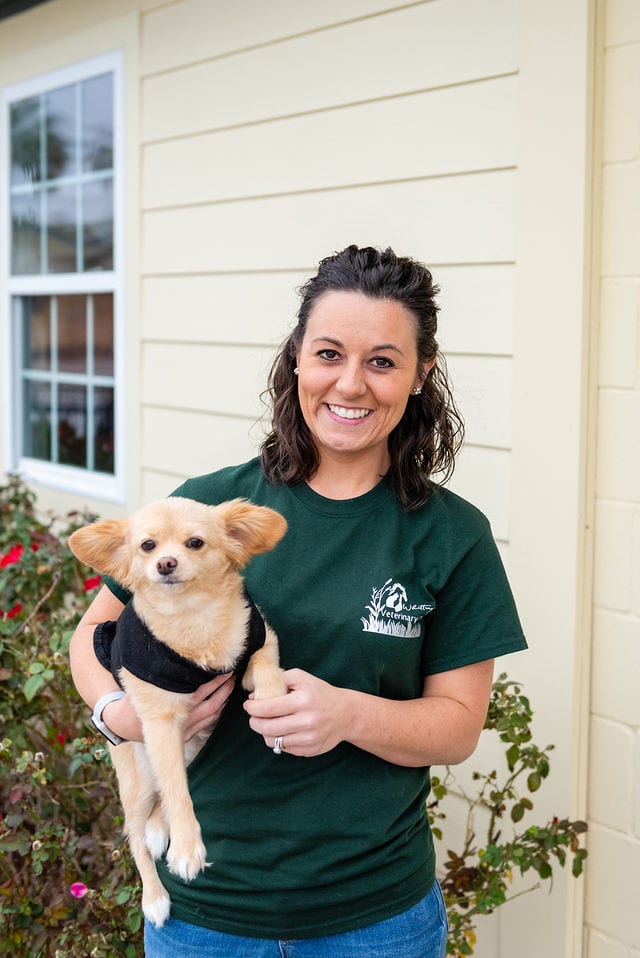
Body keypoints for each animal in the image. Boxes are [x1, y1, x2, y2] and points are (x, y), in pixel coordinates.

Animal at [69, 498, 288, 928]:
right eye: (147, 546)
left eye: (195, 543)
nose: (166, 564)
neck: (193, 617)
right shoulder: (159, 723)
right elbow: (177, 792)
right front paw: (187, 849)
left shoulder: (258, 639)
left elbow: (266, 668)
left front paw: (273, 705)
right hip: (138, 781)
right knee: (139, 831)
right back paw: (154, 895)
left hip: (190, 749)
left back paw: (159, 828)